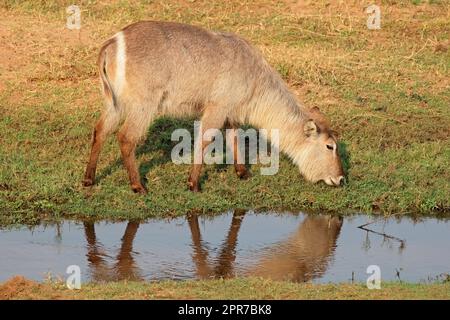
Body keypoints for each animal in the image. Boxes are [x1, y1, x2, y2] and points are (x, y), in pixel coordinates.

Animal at [83, 21, 344, 195]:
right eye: (330, 146)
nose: (341, 179)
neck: (255, 76)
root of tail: (113, 42)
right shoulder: (217, 107)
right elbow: (205, 139)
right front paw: (194, 184)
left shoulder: (229, 112)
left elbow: (234, 137)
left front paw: (242, 173)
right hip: (143, 104)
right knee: (126, 137)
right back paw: (138, 186)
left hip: (115, 103)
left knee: (100, 130)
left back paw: (88, 179)